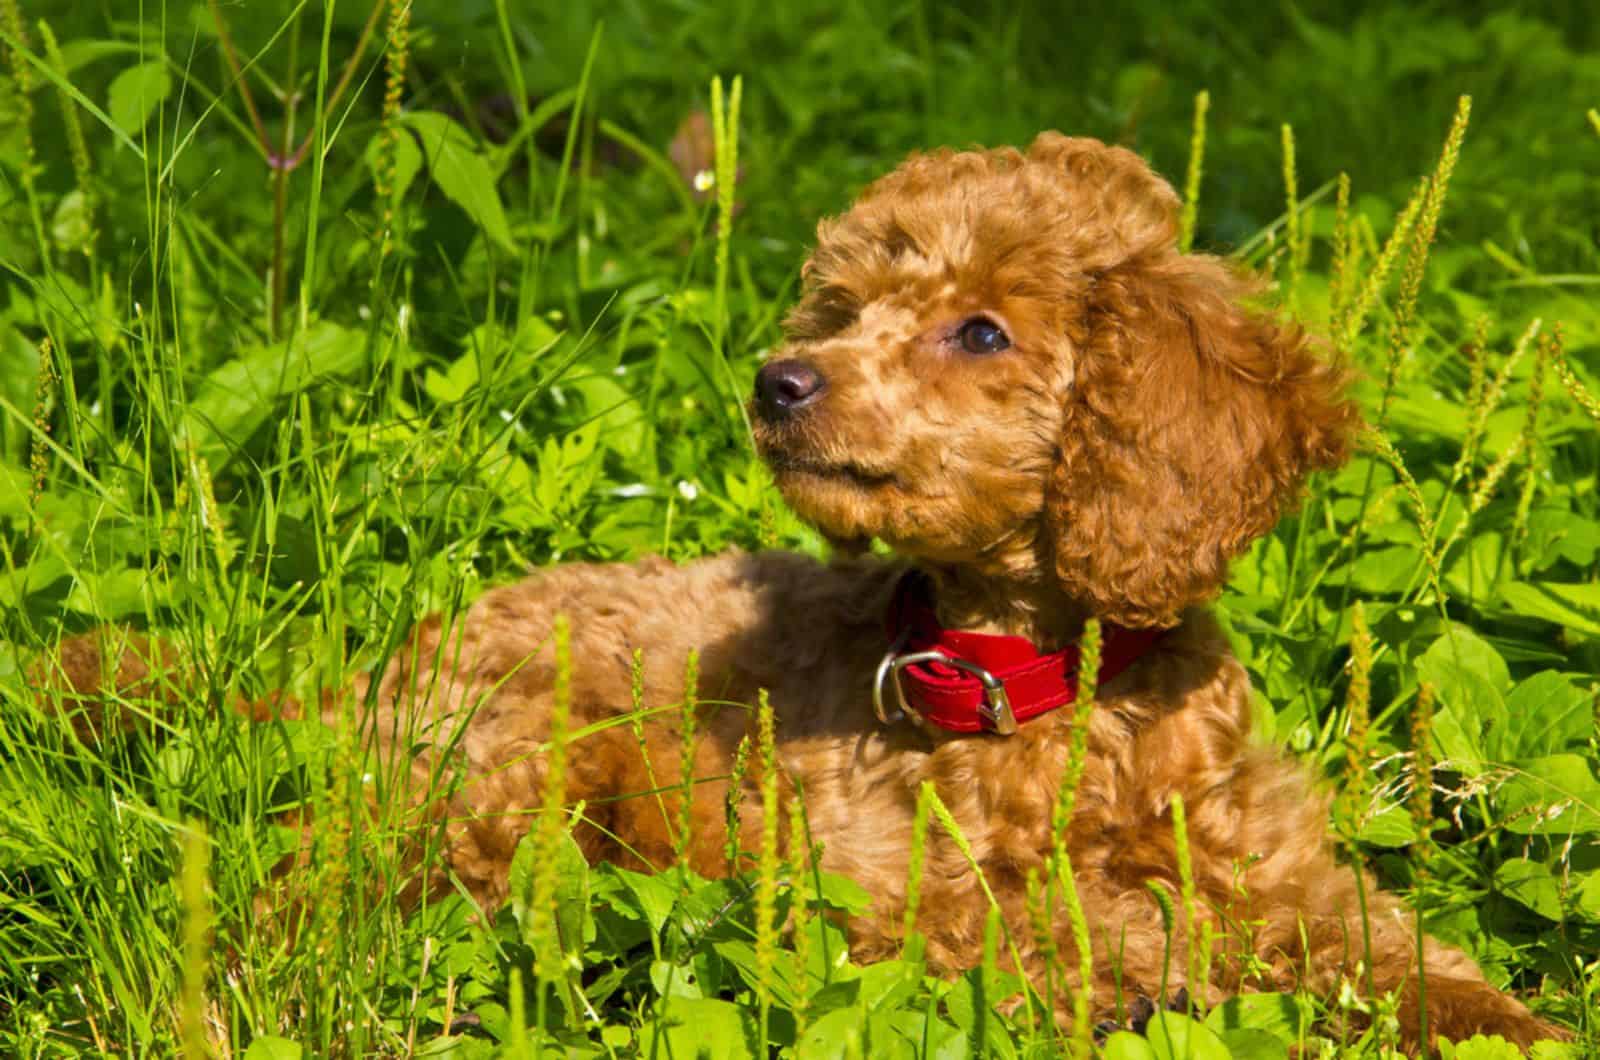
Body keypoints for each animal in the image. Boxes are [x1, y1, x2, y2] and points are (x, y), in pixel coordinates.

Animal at [46, 130, 1548, 1043]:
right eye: (844, 308)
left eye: (980, 331)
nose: (778, 381)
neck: (1037, 685)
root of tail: (375, 666)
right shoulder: (892, 904)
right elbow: (1097, 931)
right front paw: (1188, 963)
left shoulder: (1288, 865)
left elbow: (1389, 947)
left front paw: (1508, 1027)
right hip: (494, 769)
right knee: (314, 883)